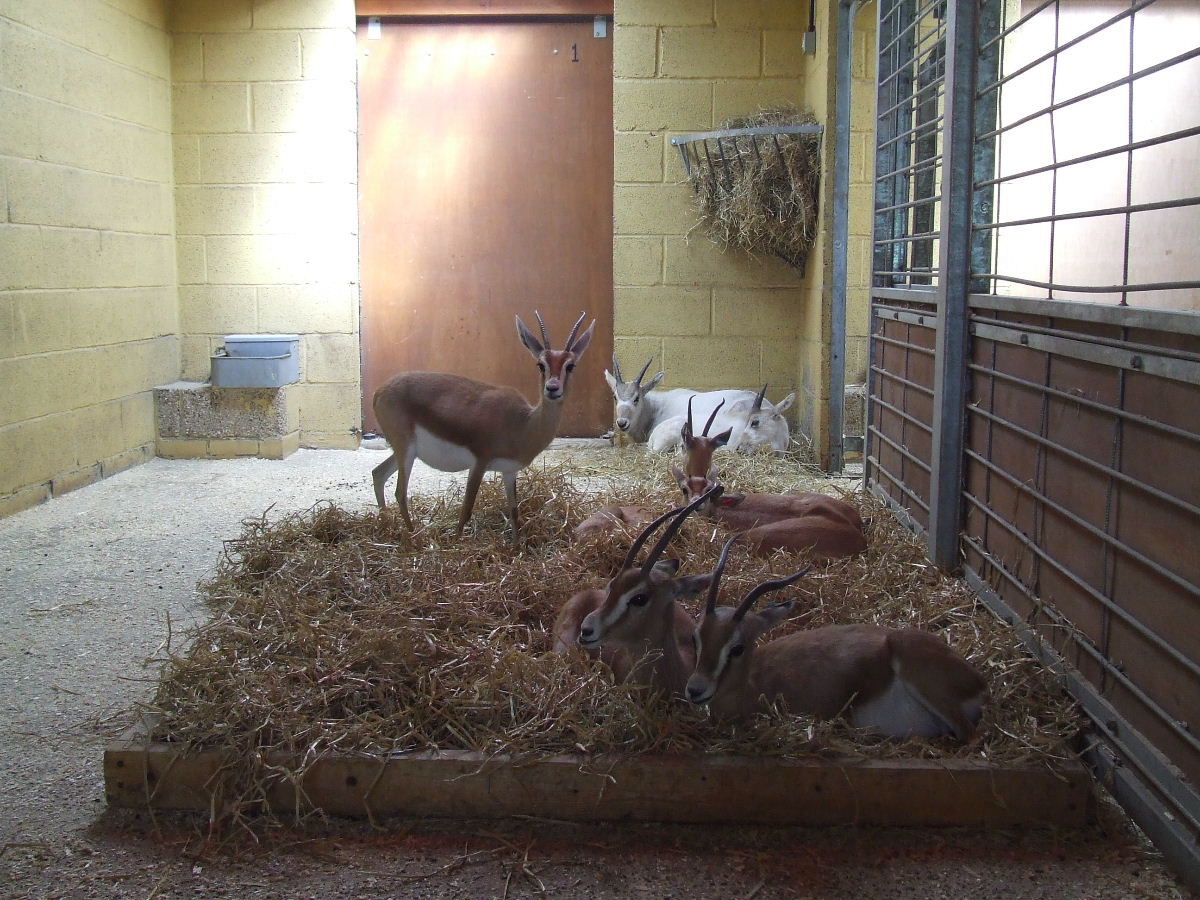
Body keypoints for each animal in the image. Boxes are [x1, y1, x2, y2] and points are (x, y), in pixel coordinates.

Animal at [371, 310, 595, 537]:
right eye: (541, 364)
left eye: (571, 365)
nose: (552, 388)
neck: (522, 424)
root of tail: (380, 391)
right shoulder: (479, 463)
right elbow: (466, 510)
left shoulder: (509, 471)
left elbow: (514, 512)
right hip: (406, 449)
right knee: (400, 492)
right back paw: (413, 536)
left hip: (406, 450)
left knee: (378, 474)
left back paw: (388, 524)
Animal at [686, 535, 988, 741]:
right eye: (696, 638)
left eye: (737, 648)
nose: (695, 689)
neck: (754, 682)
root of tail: (978, 681)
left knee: (969, 736)